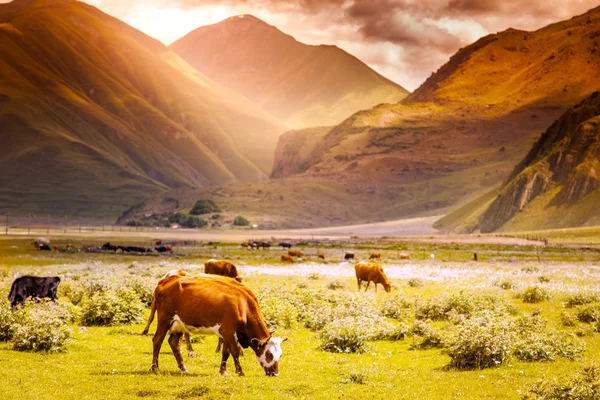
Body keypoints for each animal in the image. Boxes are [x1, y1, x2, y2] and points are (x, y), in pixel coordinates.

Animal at [149, 274, 288, 376]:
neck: (243, 304)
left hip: (178, 324)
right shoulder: (228, 331)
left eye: (280, 355)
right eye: (269, 354)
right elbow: (234, 352)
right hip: (164, 319)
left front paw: (223, 371)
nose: (275, 373)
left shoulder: (226, 333)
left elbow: (225, 352)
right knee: (157, 340)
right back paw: (155, 368)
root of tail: (165, 281)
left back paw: (183, 367)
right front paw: (240, 372)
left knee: (173, 343)